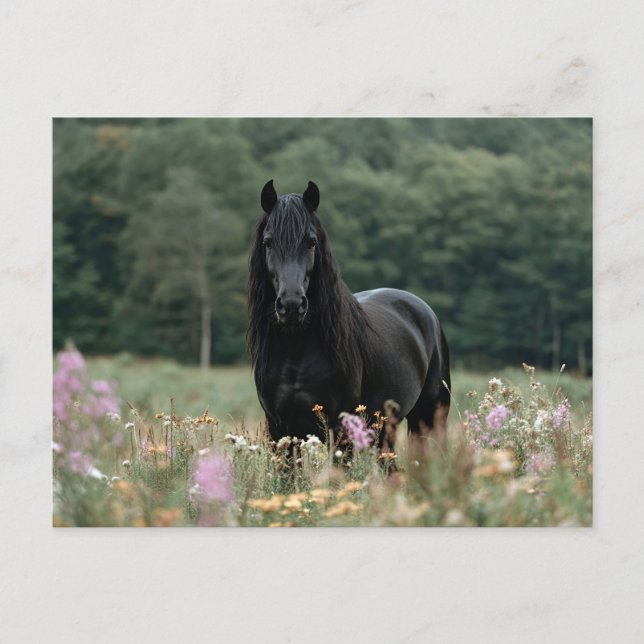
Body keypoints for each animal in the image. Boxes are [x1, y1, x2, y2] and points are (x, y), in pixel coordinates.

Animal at [248, 180, 451, 447]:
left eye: (311, 241)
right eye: (268, 242)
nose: (291, 306)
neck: (296, 352)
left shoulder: (342, 428)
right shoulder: (281, 430)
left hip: (428, 417)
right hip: (384, 428)